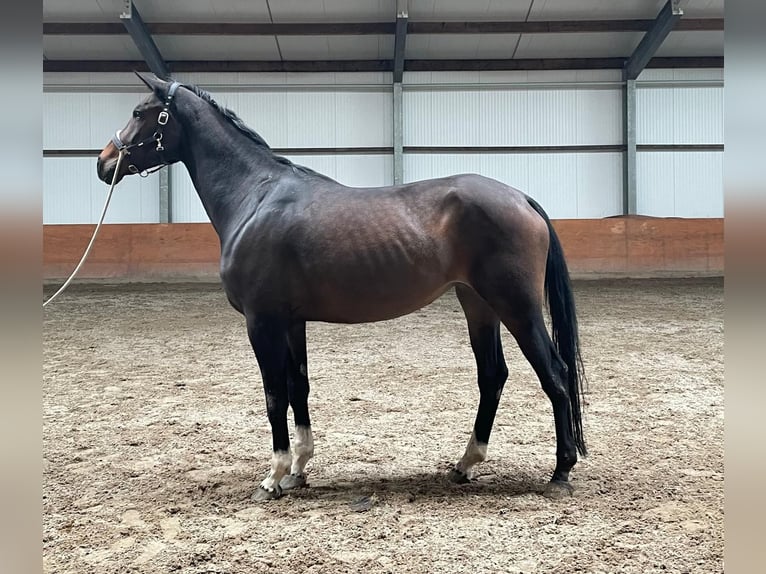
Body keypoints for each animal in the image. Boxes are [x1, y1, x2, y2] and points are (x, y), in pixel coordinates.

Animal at [96, 73, 588, 504]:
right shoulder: (291, 322)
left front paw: (272, 478)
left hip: (517, 306)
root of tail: (521, 198)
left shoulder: (262, 322)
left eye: (140, 112)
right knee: (493, 375)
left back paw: (559, 473)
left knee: (555, 373)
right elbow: (298, 387)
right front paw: (297, 470)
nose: (103, 162)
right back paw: (465, 465)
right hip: (478, 304)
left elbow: (274, 394)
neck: (256, 197)